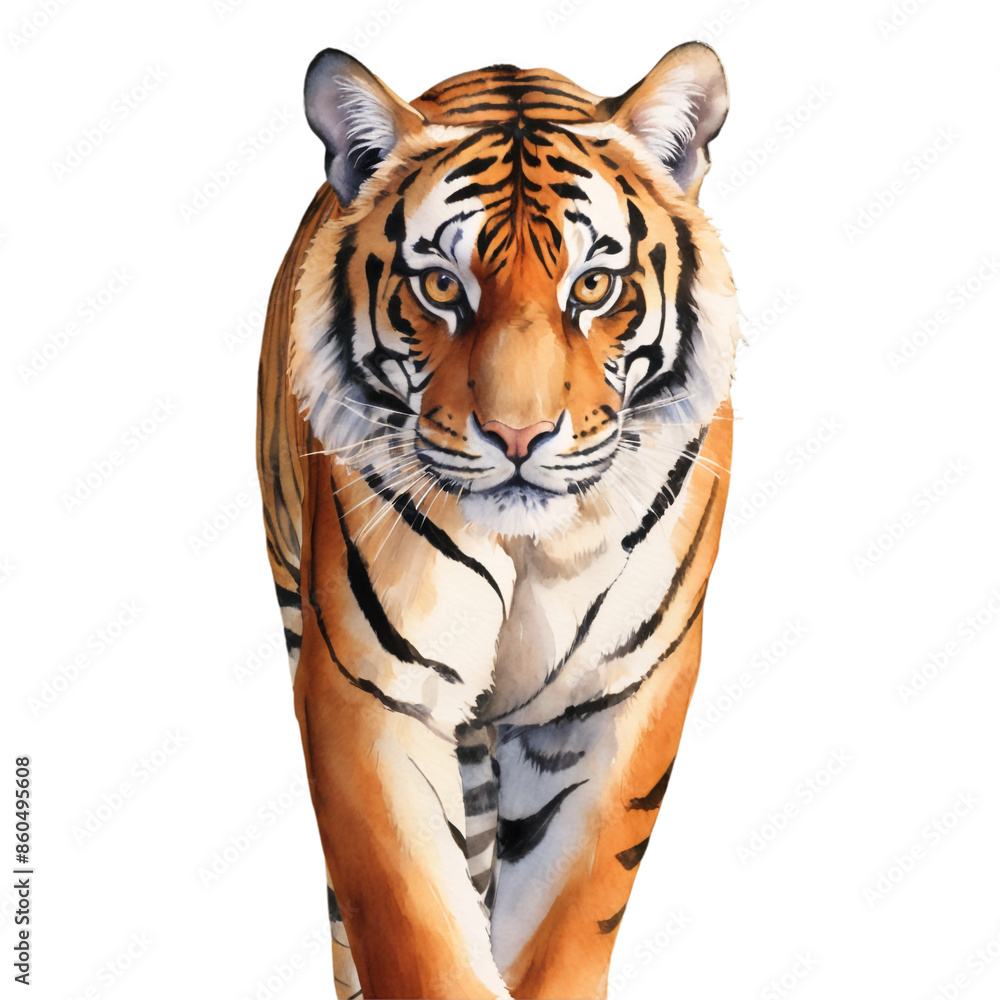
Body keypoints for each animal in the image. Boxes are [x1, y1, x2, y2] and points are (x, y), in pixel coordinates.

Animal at [256, 39, 739, 1000]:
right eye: (443, 285)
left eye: (595, 285)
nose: (518, 435)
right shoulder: (370, 692)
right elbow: (416, 929)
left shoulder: (615, 697)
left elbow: (565, 923)